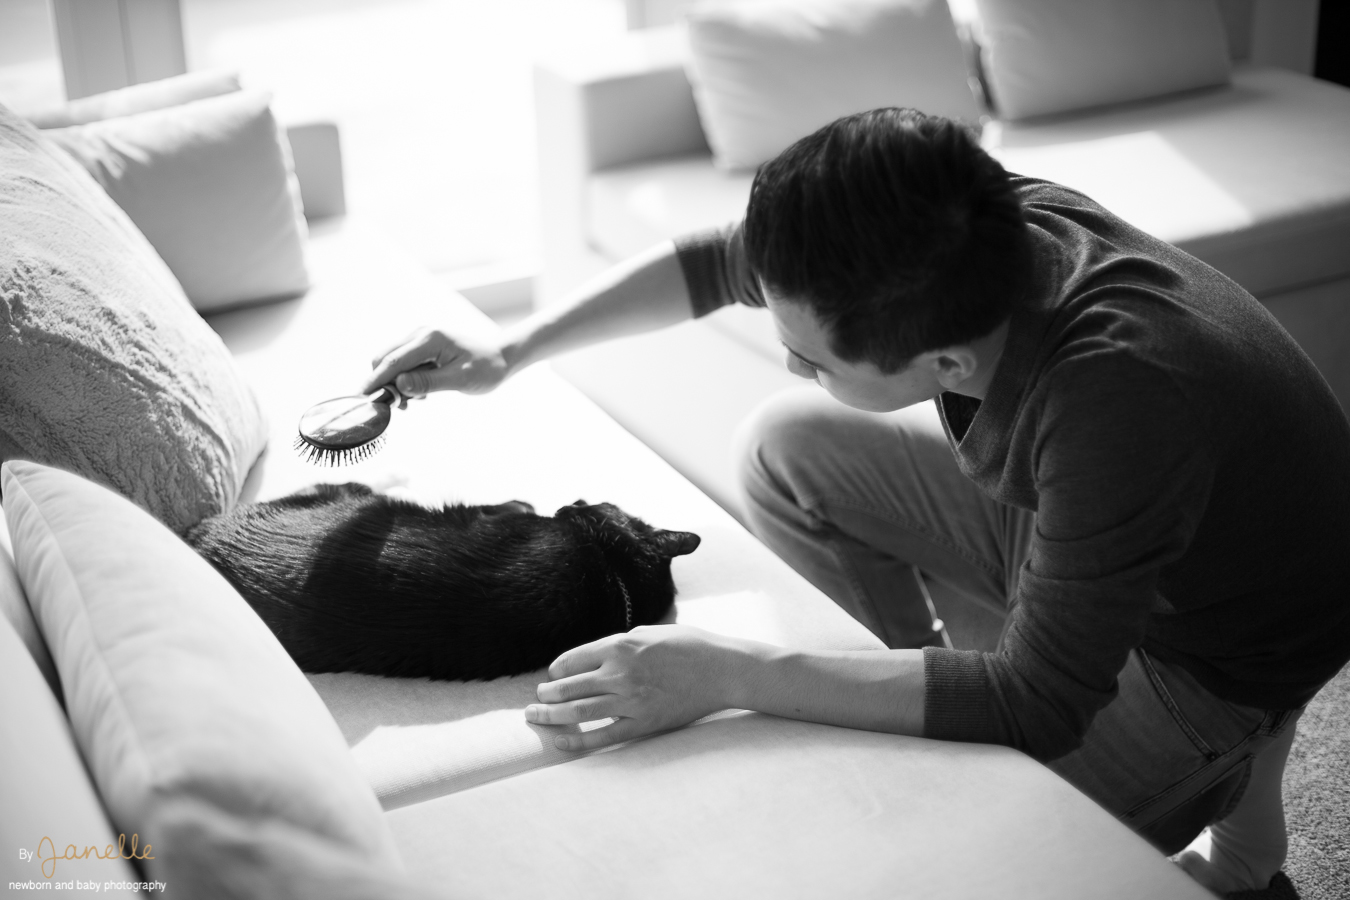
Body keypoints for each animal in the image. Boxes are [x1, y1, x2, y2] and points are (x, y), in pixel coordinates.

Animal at [184, 482, 700, 681]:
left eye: (589, 506)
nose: (570, 502)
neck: (614, 576)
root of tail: (203, 542)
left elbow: (507, 506)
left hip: (340, 492)